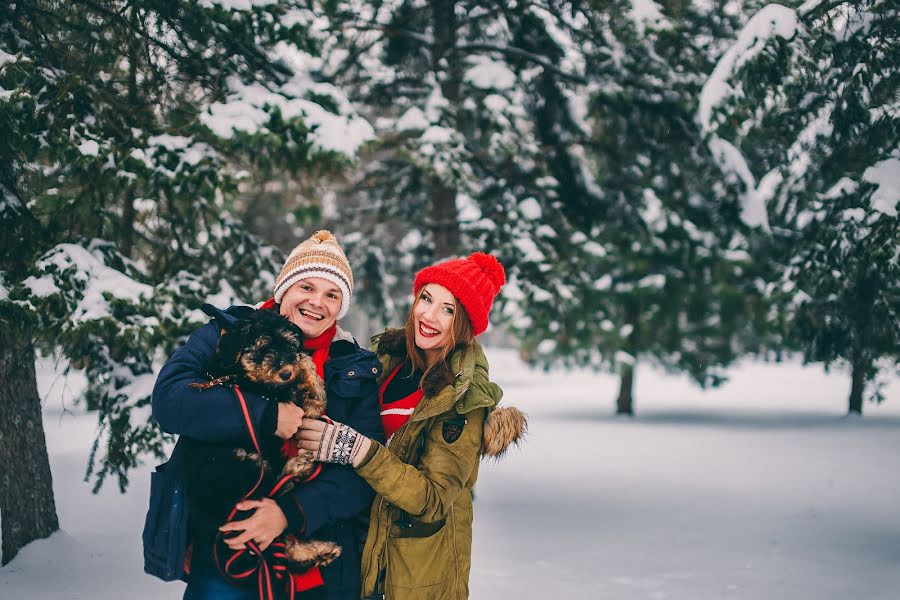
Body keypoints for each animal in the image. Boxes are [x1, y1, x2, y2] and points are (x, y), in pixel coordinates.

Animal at [183, 308, 342, 568]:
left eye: (288, 344)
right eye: (263, 348)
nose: (285, 372)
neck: (236, 373)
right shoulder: (273, 394)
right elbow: (299, 389)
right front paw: (313, 392)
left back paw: (320, 552)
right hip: (243, 463)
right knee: (270, 495)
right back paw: (297, 468)